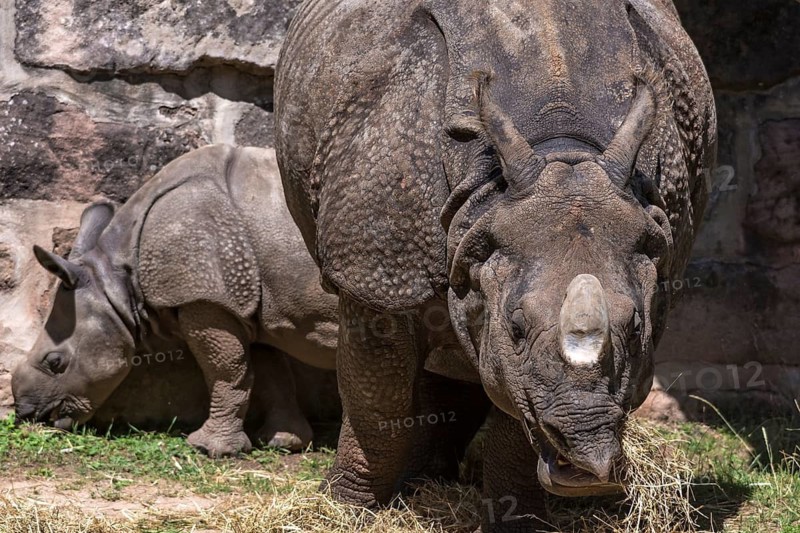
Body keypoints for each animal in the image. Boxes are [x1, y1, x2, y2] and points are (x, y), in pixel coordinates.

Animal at [12, 145, 339, 457]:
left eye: (55, 362)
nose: (27, 413)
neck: (116, 281)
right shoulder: (243, 303)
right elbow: (270, 371)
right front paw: (282, 442)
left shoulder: (206, 297)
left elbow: (225, 370)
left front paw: (208, 449)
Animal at [275, 0, 716, 528]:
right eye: (517, 327)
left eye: (634, 329)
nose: (587, 461)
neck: (561, 147)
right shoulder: (377, 275)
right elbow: (377, 397)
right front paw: (345, 508)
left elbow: (510, 404)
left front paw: (520, 521)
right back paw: (416, 483)